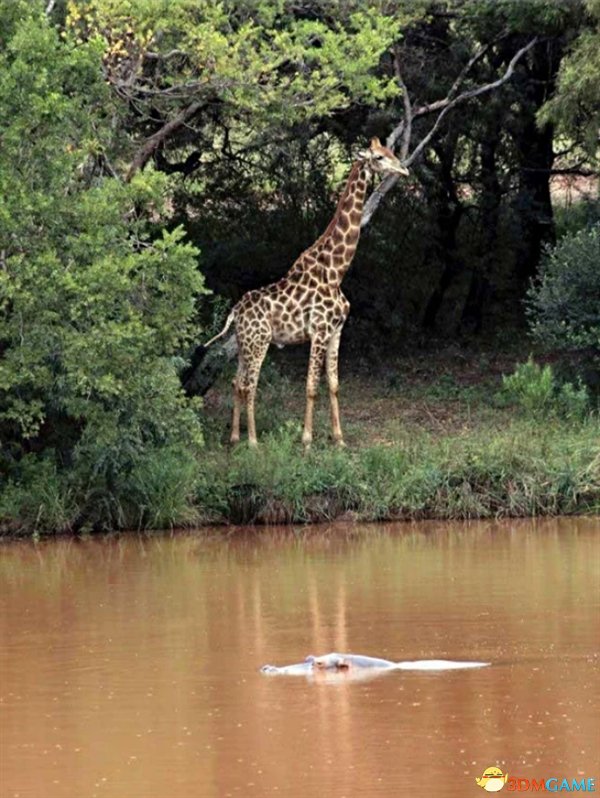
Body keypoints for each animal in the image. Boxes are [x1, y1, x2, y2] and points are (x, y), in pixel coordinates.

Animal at [205, 138, 408, 450]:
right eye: (378, 157)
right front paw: (307, 440)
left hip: (243, 343)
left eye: (391, 152)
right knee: (250, 384)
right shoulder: (319, 331)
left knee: (236, 382)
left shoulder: (337, 331)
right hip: (259, 342)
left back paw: (235, 436)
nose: (404, 169)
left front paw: (339, 439)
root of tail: (235, 312)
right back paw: (253, 441)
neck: (336, 271)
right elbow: (312, 387)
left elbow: (334, 384)